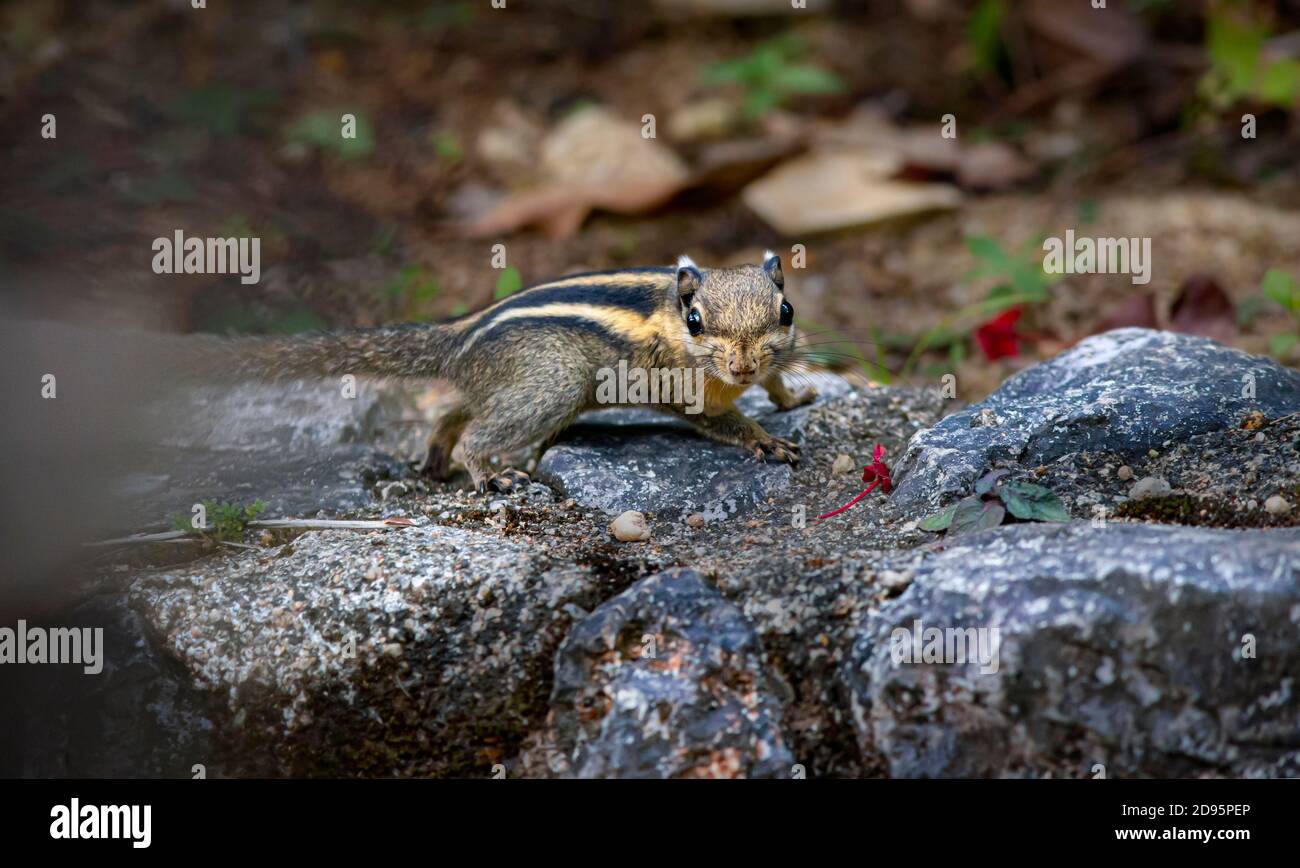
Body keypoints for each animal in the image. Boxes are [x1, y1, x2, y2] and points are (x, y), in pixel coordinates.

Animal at [223, 252, 811, 493]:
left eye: (786, 311)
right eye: (696, 321)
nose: (742, 365)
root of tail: (460, 335)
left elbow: (777, 379)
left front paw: (791, 399)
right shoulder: (688, 391)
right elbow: (722, 421)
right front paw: (765, 438)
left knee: (453, 411)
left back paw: (434, 459)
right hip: (553, 384)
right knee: (478, 431)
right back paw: (489, 473)